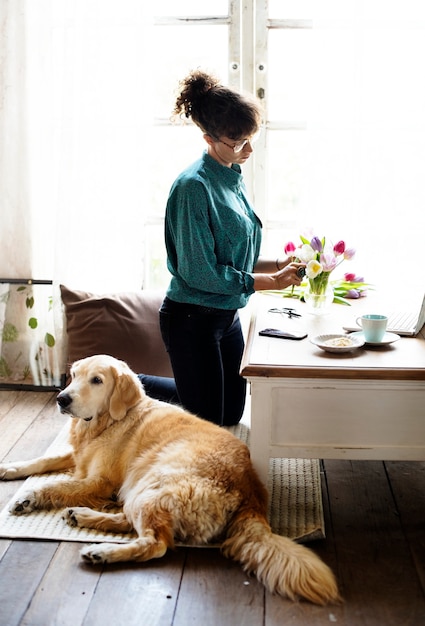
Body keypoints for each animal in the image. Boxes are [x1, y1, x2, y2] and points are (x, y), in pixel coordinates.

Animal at [0, 354, 338, 604]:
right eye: (74, 375)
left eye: (96, 380)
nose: (61, 399)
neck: (106, 421)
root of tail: (252, 492)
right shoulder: (80, 457)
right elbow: (44, 460)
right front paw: (11, 468)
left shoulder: (101, 482)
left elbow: (56, 484)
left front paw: (27, 498)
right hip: (143, 489)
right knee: (131, 521)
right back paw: (82, 517)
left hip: (152, 483)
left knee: (155, 543)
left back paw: (102, 551)